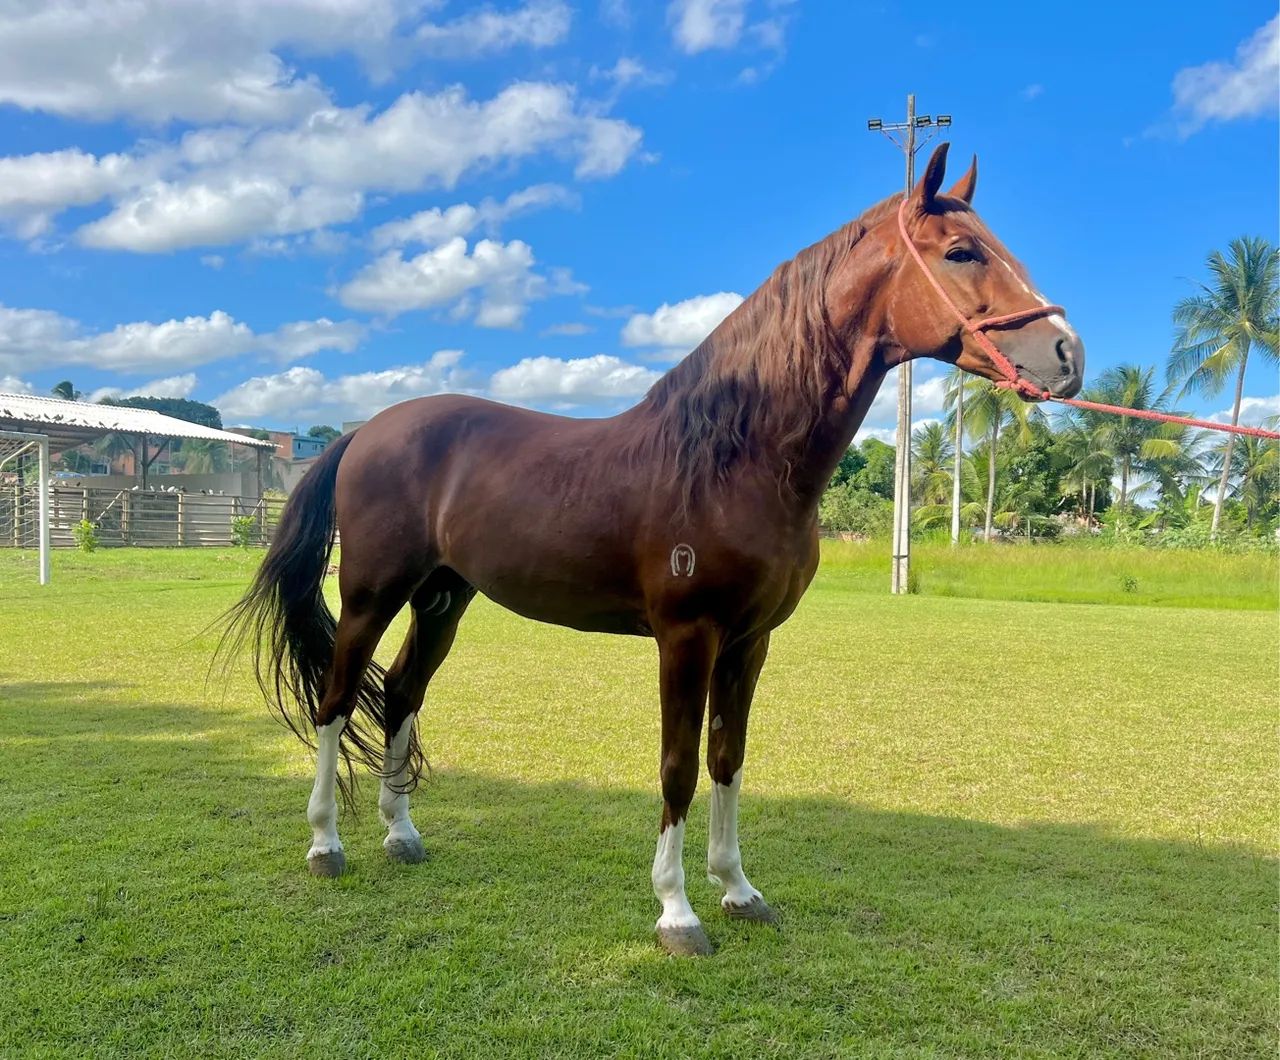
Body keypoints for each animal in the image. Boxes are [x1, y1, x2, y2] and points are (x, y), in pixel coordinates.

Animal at [223, 143, 1084, 957]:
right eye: (962, 252)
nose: (1067, 354)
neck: (733, 456)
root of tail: (368, 430)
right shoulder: (686, 637)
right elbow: (677, 766)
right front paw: (677, 913)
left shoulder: (750, 642)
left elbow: (727, 758)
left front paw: (738, 891)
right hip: (372, 594)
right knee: (336, 701)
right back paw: (326, 845)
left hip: (443, 598)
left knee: (401, 693)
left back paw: (401, 836)